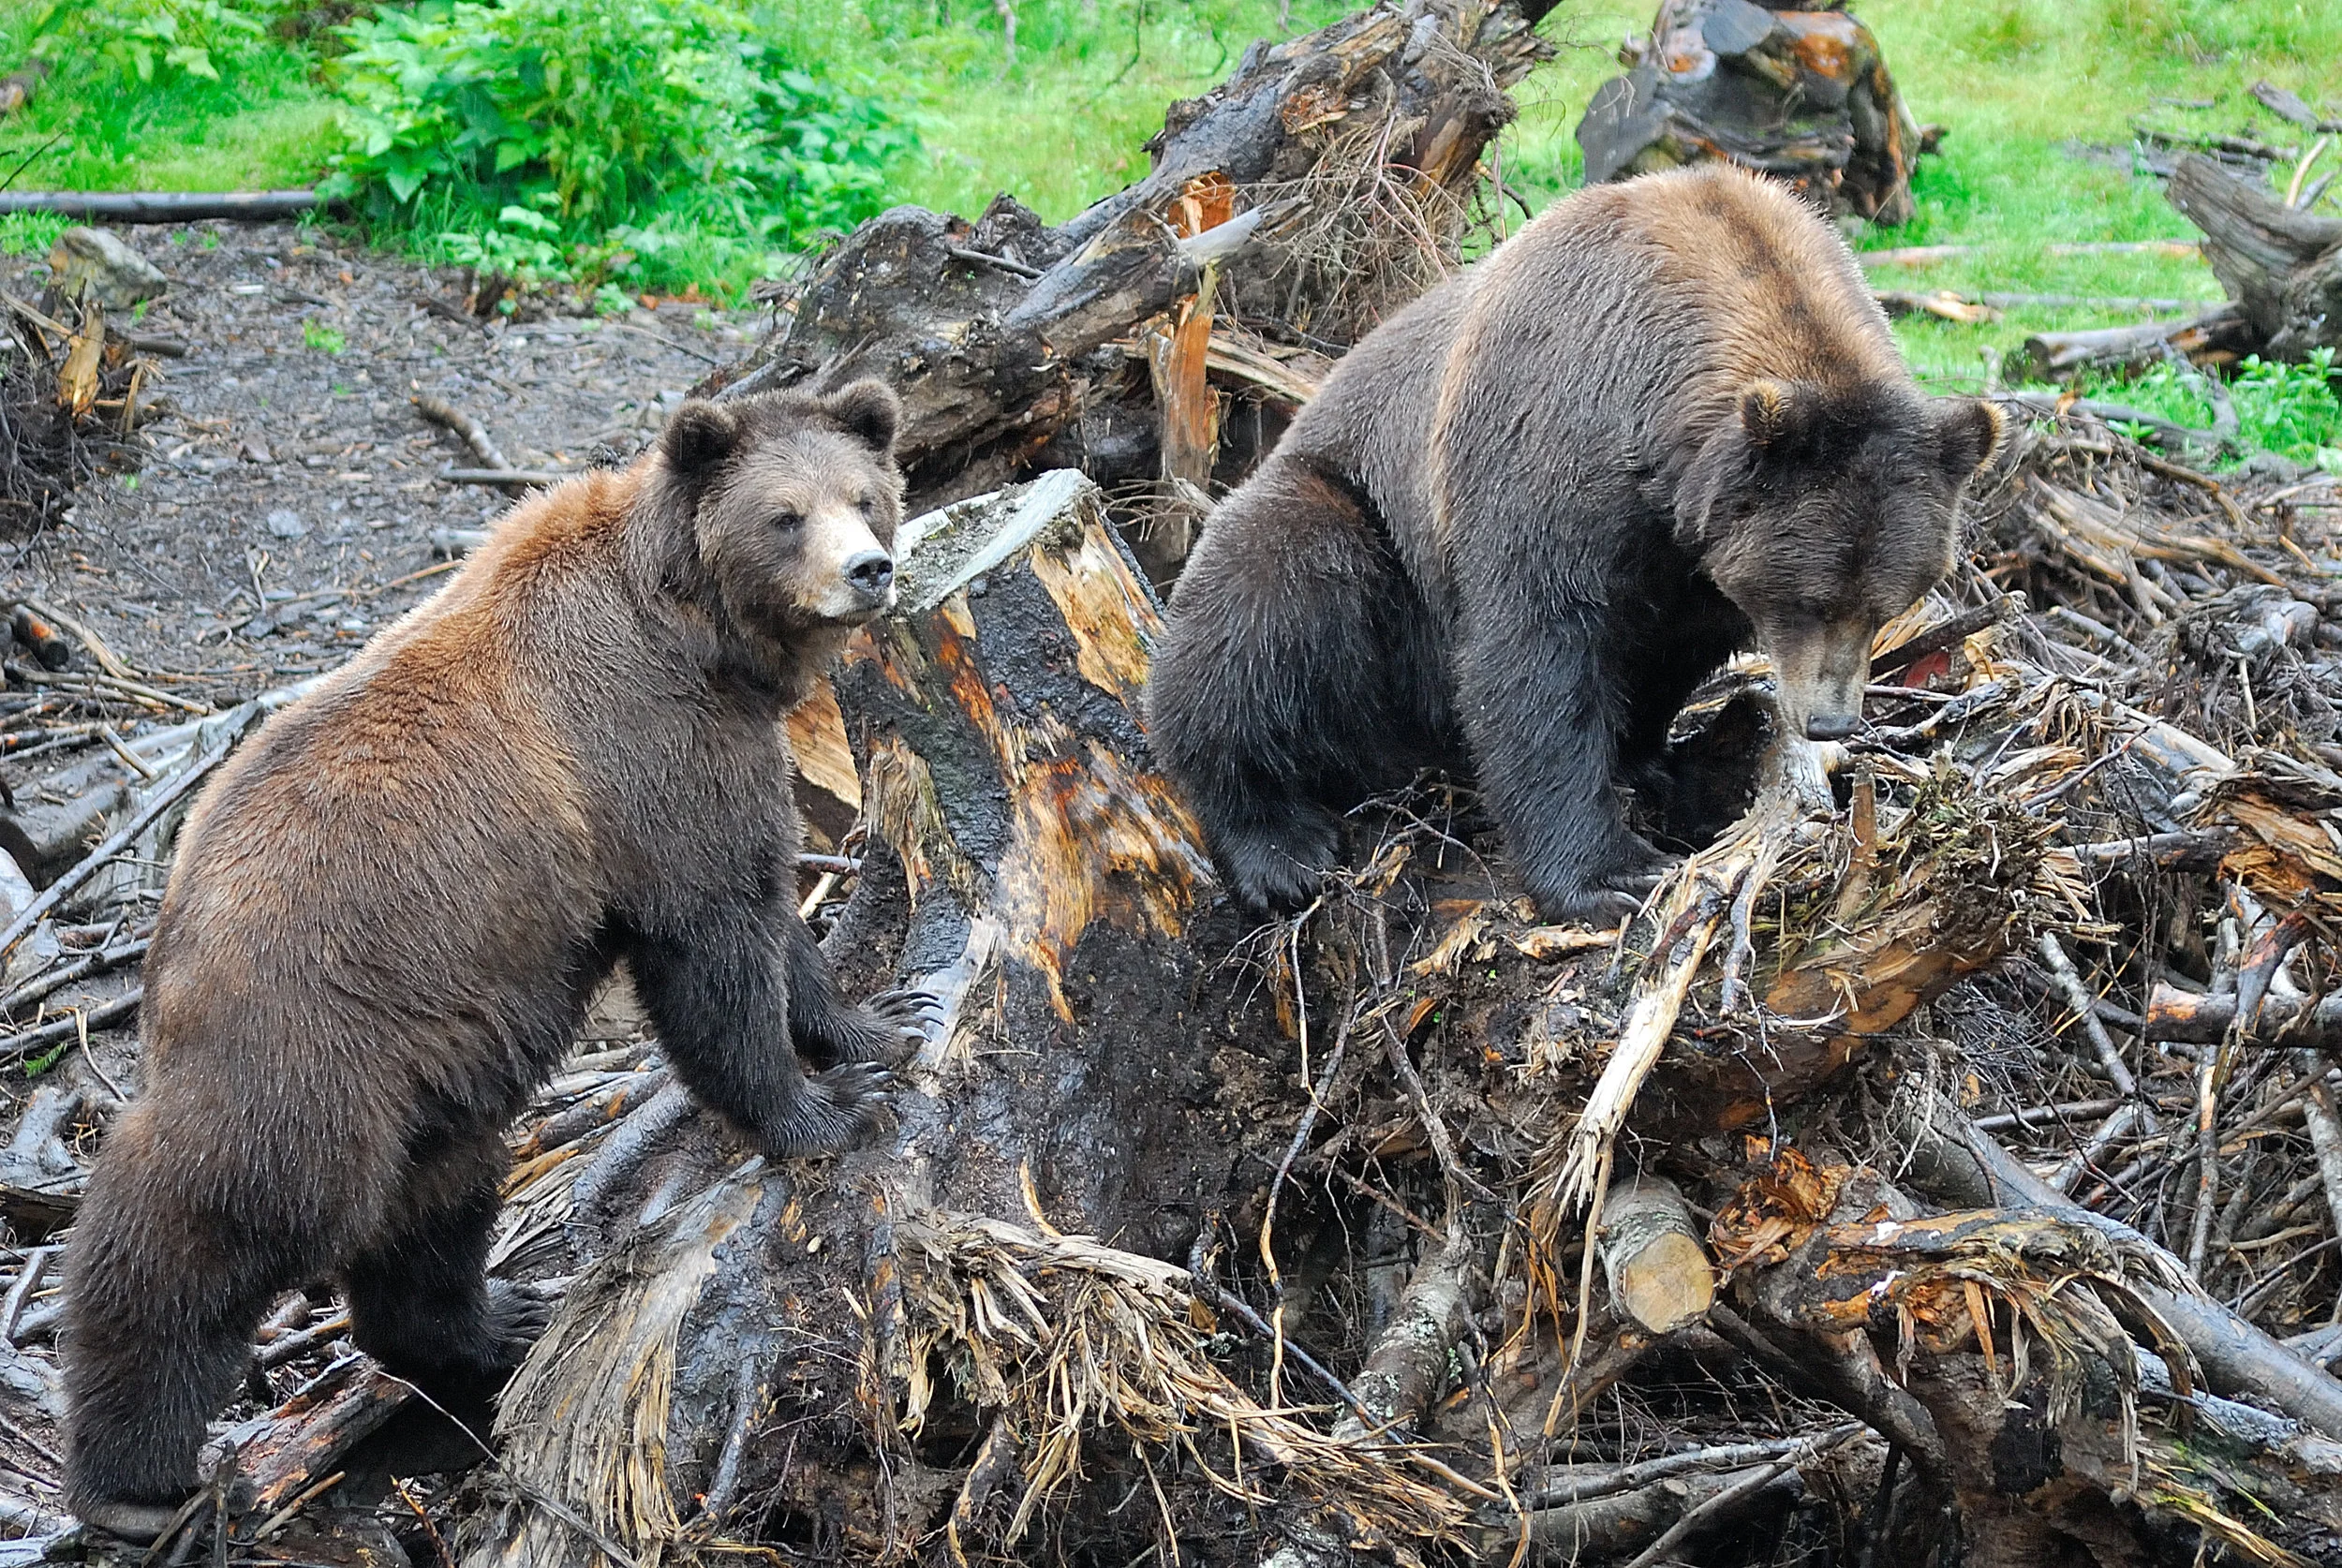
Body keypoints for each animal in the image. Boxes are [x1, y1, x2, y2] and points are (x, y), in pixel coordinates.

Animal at [61, 382, 937, 1541]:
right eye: (784, 515)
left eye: (865, 495)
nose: (867, 569)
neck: (699, 637)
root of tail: (171, 927)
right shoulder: (645, 754)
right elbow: (710, 943)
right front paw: (820, 1112)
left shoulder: (718, 758)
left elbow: (769, 908)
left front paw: (884, 1025)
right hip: (312, 1034)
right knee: (215, 1213)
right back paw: (132, 1477)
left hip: (438, 1065)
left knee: (431, 1213)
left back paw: (497, 1321)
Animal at [1147, 162, 2003, 922]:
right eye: (1810, 599)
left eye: (1887, 601)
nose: (1828, 721)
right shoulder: (1545, 448)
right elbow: (1537, 654)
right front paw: (1611, 874)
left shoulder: (1688, 559)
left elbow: (1665, 650)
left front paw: (1651, 762)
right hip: (1352, 525)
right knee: (1266, 609)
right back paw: (1278, 846)